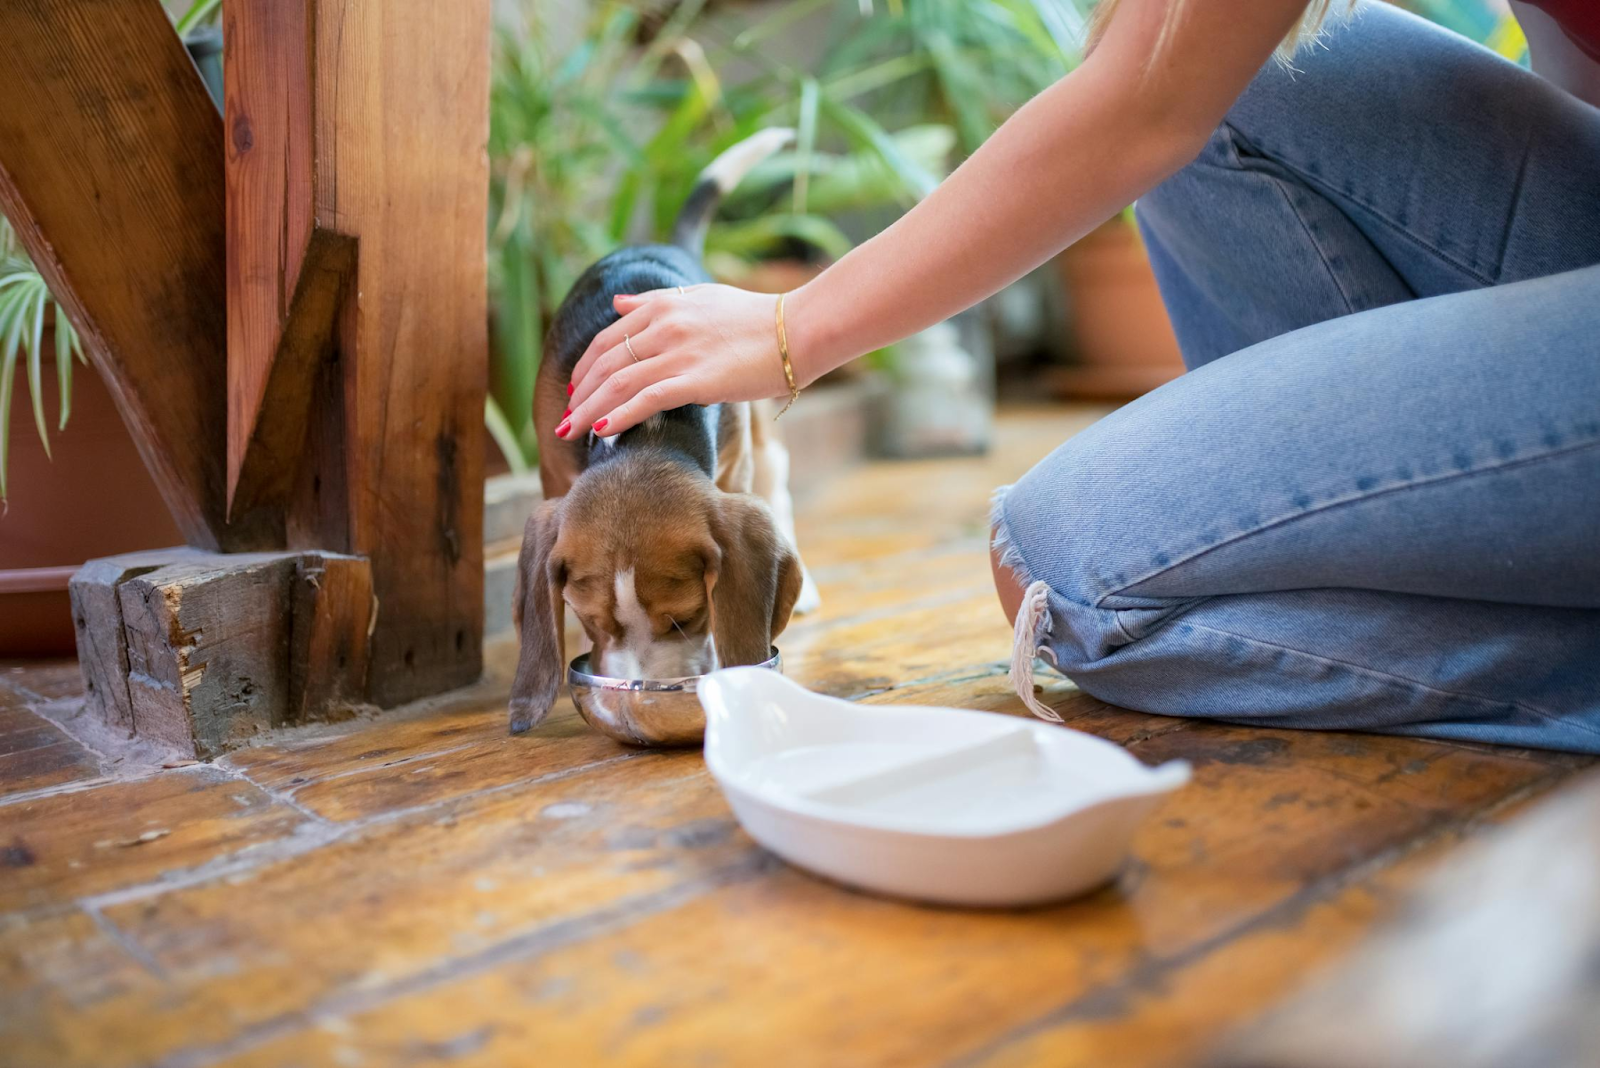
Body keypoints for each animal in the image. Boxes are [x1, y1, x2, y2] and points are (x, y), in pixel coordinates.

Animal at [508, 127, 819, 735]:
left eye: (687, 617)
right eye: (589, 619)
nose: (639, 690)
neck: (647, 427)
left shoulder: (734, 469)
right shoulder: (555, 471)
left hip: (759, 431)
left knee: (777, 487)